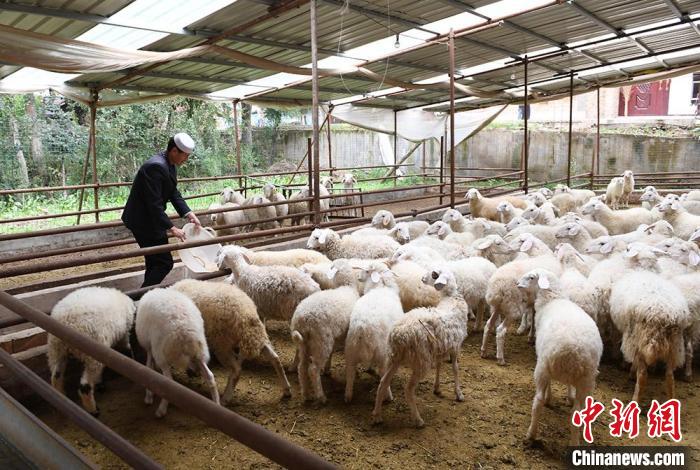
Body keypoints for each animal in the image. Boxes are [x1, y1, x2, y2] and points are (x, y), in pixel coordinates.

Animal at [47, 286, 135, 414]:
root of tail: (67, 322)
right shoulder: (122, 334)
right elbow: (126, 347)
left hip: (56, 349)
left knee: (56, 376)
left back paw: (62, 398)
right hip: (92, 353)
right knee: (85, 386)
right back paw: (93, 410)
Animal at [138, 288, 220, 416]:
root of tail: (185, 332)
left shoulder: (149, 348)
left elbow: (148, 367)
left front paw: (148, 396)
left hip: (161, 353)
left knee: (168, 381)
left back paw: (161, 409)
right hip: (200, 351)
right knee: (210, 377)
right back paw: (216, 405)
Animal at [342, 262, 402, 402]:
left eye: (367, 271)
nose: (358, 276)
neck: (381, 287)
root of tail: (362, 327)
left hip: (350, 350)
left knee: (349, 374)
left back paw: (348, 396)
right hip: (382, 353)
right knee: (383, 377)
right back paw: (388, 396)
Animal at [372, 266, 470, 428]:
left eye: (434, 274)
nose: (422, 279)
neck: (451, 299)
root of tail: (398, 335)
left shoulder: (441, 347)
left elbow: (439, 366)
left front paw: (437, 388)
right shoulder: (455, 347)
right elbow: (455, 369)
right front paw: (459, 394)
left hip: (394, 358)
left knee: (383, 383)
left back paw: (377, 415)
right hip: (420, 361)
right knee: (408, 389)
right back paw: (418, 419)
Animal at [516, 268, 604, 444]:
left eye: (531, 277)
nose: (517, 284)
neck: (552, 299)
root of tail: (573, 350)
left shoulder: (542, 358)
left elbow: (548, 388)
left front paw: (550, 398)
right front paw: (569, 396)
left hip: (543, 367)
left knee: (538, 401)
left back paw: (531, 434)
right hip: (586, 379)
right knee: (577, 412)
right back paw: (575, 442)